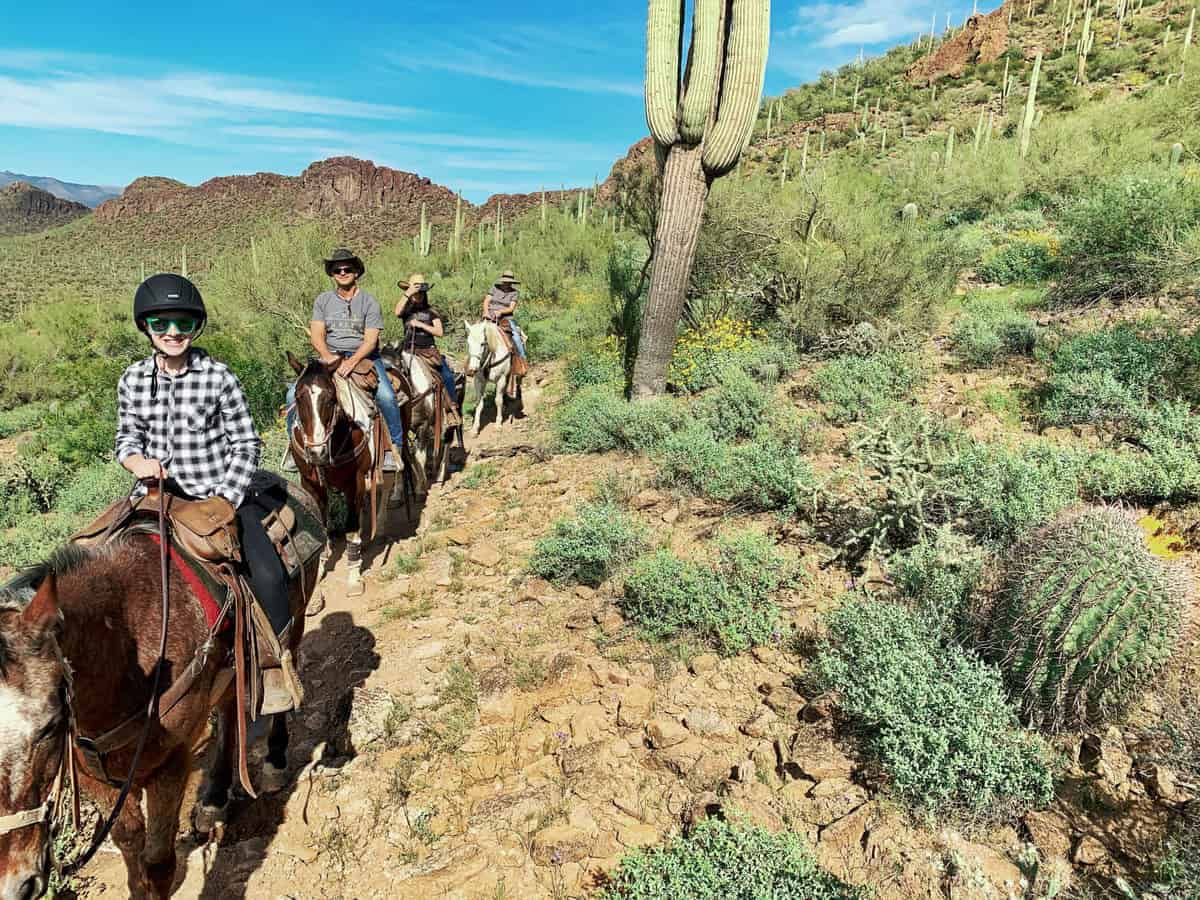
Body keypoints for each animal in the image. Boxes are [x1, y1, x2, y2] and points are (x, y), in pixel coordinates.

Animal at [0, 532, 321, 897]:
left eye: (49, 727)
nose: (16, 886)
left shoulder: (171, 763)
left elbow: (158, 863)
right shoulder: (94, 776)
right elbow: (129, 847)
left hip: (295, 620)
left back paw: (275, 760)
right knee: (228, 708)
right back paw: (213, 800)